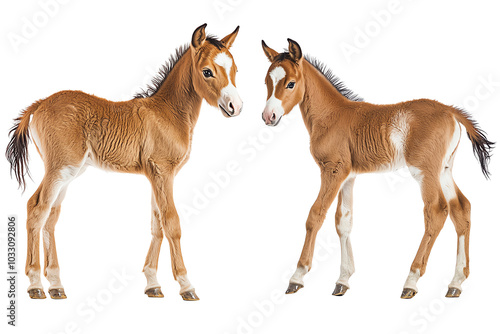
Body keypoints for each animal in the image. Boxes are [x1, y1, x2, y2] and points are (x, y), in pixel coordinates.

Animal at [5, 23, 243, 300]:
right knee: (37, 209)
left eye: (235, 70)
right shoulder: (163, 172)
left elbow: (156, 224)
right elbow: (171, 223)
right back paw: (35, 285)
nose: (236, 106)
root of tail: (40, 103)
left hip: (69, 173)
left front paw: (153, 284)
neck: (167, 113)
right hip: (60, 170)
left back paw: (55, 286)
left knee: (50, 217)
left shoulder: (156, 176)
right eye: (207, 71)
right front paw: (186, 285)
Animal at [260, 38, 494, 298]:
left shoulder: (333, 170)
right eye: (267, 82)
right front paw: (343, 280)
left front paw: (297, 276)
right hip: (444, 170)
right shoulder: (348, 176)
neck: (331, 115)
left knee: (436, 210)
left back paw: (411, 281)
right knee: (461, 209)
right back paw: (456, 283)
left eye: (290, 83)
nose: (268, 116)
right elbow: (343, 221)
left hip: (425, 171)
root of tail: (451, 111)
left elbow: (316, 215)